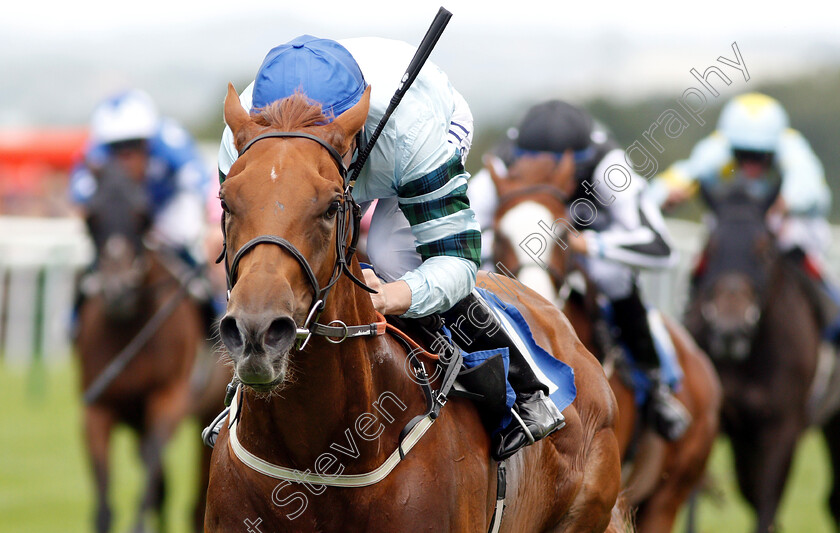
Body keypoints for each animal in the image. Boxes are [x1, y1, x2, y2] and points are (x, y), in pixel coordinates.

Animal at [76, 162, 205, 532]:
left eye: (142, 216)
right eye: (91, 218)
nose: (117, 290)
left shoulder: (169, 397)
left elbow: (150, 468)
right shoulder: (97, 407)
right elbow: (103, 506)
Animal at [684, 181, 832, 528]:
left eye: (763, 250)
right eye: (711, 247)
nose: (730, 329)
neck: (745, 362)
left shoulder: (781, 430)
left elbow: (766, 508)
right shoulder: (713, 420)